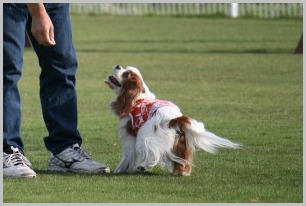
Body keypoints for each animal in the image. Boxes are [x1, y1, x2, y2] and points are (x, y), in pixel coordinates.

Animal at [105, 65, 241, 176]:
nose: (118, 65)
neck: (137, 98)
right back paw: (181, 172)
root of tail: (175, 118)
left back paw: (143, 166)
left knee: (152, 152)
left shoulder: (129, 136)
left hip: (146, 134)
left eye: (126, 74)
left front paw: (121, 169)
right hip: (181, 141)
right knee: (182, 161)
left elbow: (128, 155)